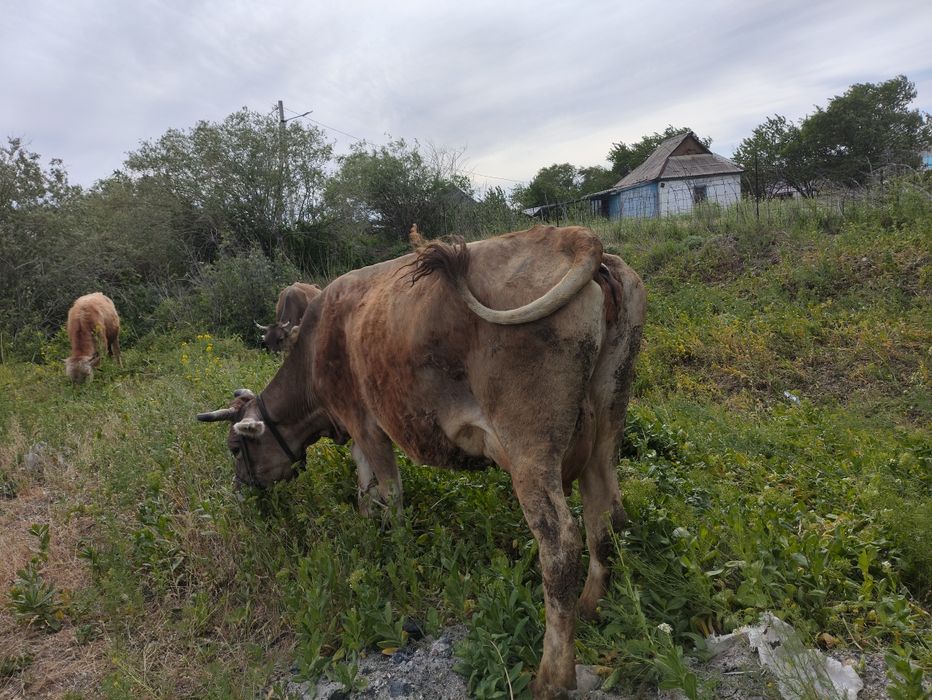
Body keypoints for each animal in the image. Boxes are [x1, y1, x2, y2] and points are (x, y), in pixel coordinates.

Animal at [197, 225, 645, 698]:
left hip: (530, 447)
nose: (240, 490)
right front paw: (367, 527)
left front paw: (394, 548)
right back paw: (592, 606)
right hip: (608, 422)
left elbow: (388, 493)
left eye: (235, 448)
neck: (318, 344)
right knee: (607, 515)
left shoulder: (367, 424)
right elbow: (365, 491)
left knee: (560, 546)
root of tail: (574, 237)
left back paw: (551, 677)